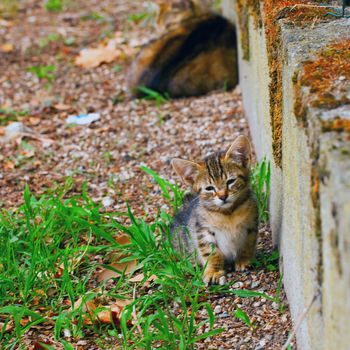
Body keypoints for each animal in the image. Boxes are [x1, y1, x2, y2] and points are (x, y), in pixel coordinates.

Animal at [171, 136, 258, 284]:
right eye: (209, 188)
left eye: (230, 181)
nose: (223, 196)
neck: (228, 213)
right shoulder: (203, 230)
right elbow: (211, 252)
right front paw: (213, 271)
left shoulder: (251, 224)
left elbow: (248, 244)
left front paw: (244, 260)